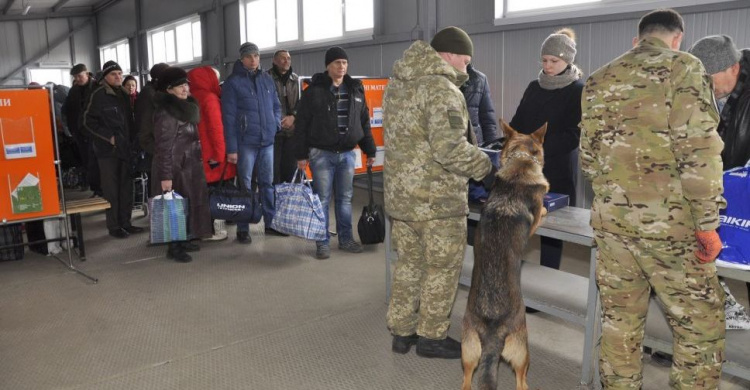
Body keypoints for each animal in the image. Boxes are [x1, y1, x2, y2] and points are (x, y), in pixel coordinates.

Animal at [462, 120, 548, 388]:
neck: (520, 161)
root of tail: (492, 333)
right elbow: (541, 211)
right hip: (522, 351)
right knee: (521, 380)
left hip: (468, 351)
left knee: (466, 380)